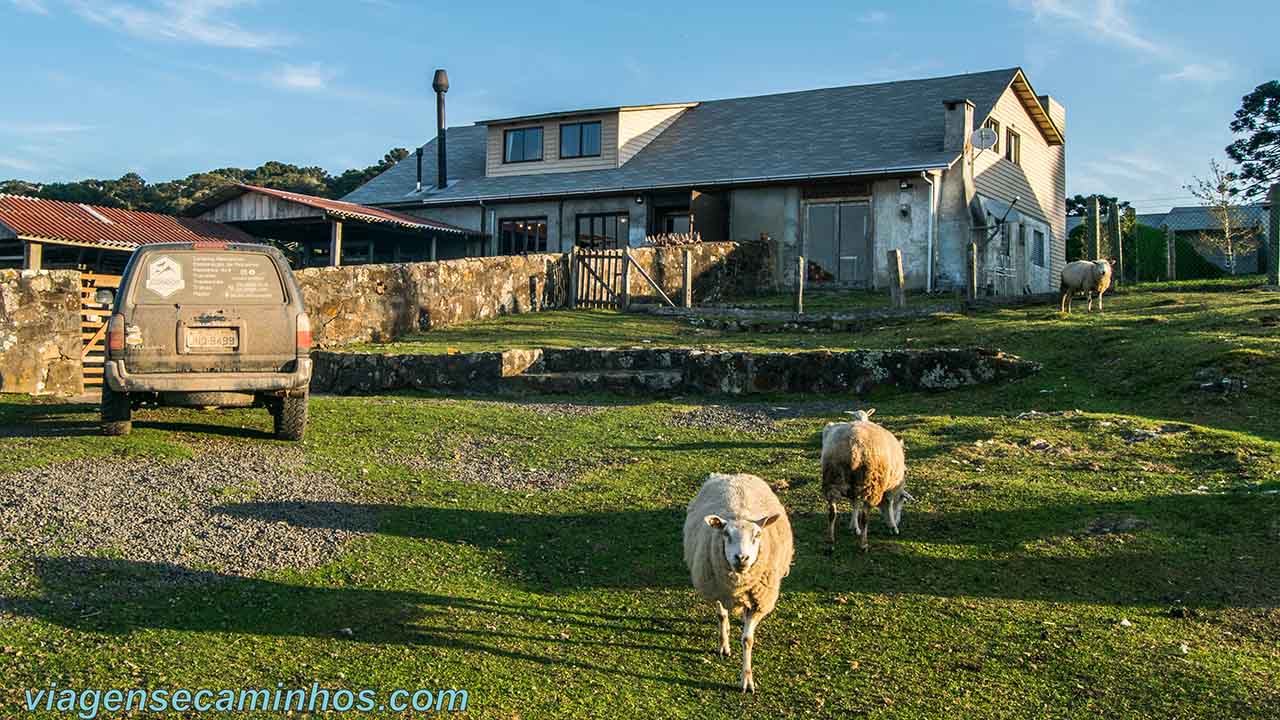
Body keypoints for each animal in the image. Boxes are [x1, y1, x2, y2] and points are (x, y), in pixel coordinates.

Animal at [680, 471, 788, 691]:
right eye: (726, 534)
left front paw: (747, 678)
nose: (742, 558)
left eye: (757, 535)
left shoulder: (758, 603)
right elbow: (722, 616)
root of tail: (733, 475)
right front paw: (724, 645)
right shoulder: (718, 589)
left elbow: (747, 639)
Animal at [819, 407, 911, 550]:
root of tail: (853, 445)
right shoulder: (889, 488)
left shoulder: (855, 487)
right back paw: (864, 544)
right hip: (871, 483)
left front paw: (853, 527)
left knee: (832, 511)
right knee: (865, 516)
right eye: (902, 501)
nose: (898, 521)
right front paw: (893, 526)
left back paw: (830, 540)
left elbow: (855, 504)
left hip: (832, 478)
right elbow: (889, 504)